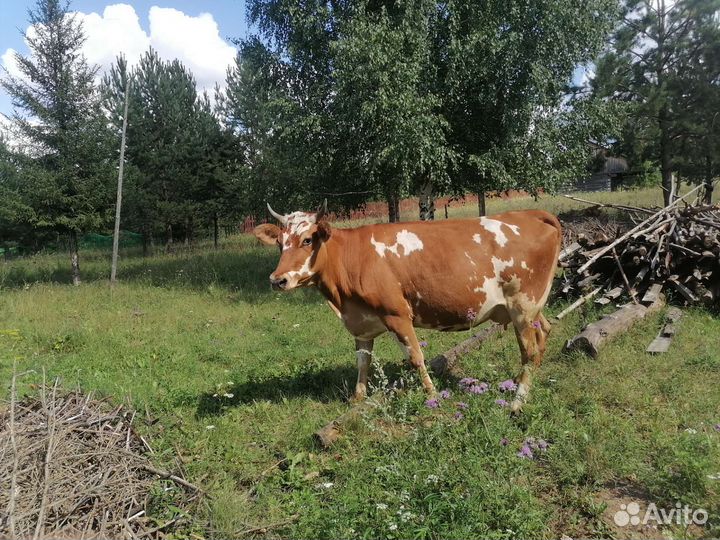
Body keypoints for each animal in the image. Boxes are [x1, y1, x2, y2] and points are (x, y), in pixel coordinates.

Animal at [253, 203, 561, 413]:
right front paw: (357, 398)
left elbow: (415, 358)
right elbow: (362, 362)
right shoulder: (361, 323)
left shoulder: (397, 315)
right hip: (531, 308)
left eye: (307, 240)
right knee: (544, 332)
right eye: (279, 243)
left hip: (522, 304)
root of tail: (530, 214)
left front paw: (433, 395)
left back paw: (517, 401)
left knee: (529, 350)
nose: (277, 280)